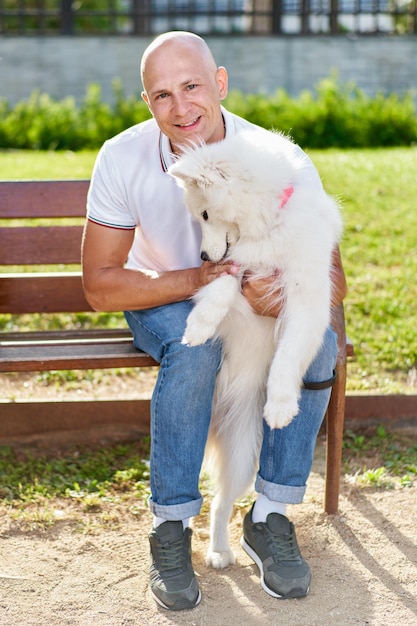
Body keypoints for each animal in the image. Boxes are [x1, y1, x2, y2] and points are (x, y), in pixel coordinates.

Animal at [168, 129, 342, 568]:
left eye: (206, 214)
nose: (202, 256)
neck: (267, 223)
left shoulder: (306, 296)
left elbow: (289, 355)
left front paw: (281, 406)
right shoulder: (238, 265)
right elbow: (222, 284)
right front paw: (199, 325)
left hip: (245, 453)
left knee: (220, 503)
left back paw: (220, 550)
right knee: (211, 502)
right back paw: (214, 551)